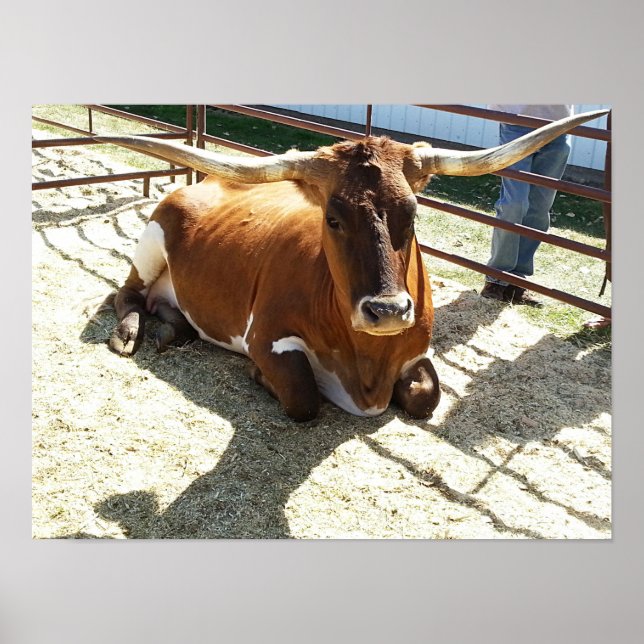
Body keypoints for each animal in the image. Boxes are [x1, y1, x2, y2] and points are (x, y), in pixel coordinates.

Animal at [97, 110, 606, 422]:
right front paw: (260, 376)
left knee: (163, 305)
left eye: (413, 212)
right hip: (151, 241)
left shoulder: (418, 352)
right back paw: (130, 333)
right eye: (333, 218)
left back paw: (171, 329)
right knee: (125, 293)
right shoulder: (267, 337)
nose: (388, 311)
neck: (368, 363)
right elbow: (303, 397)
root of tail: (205, 182)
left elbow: (427, 397)